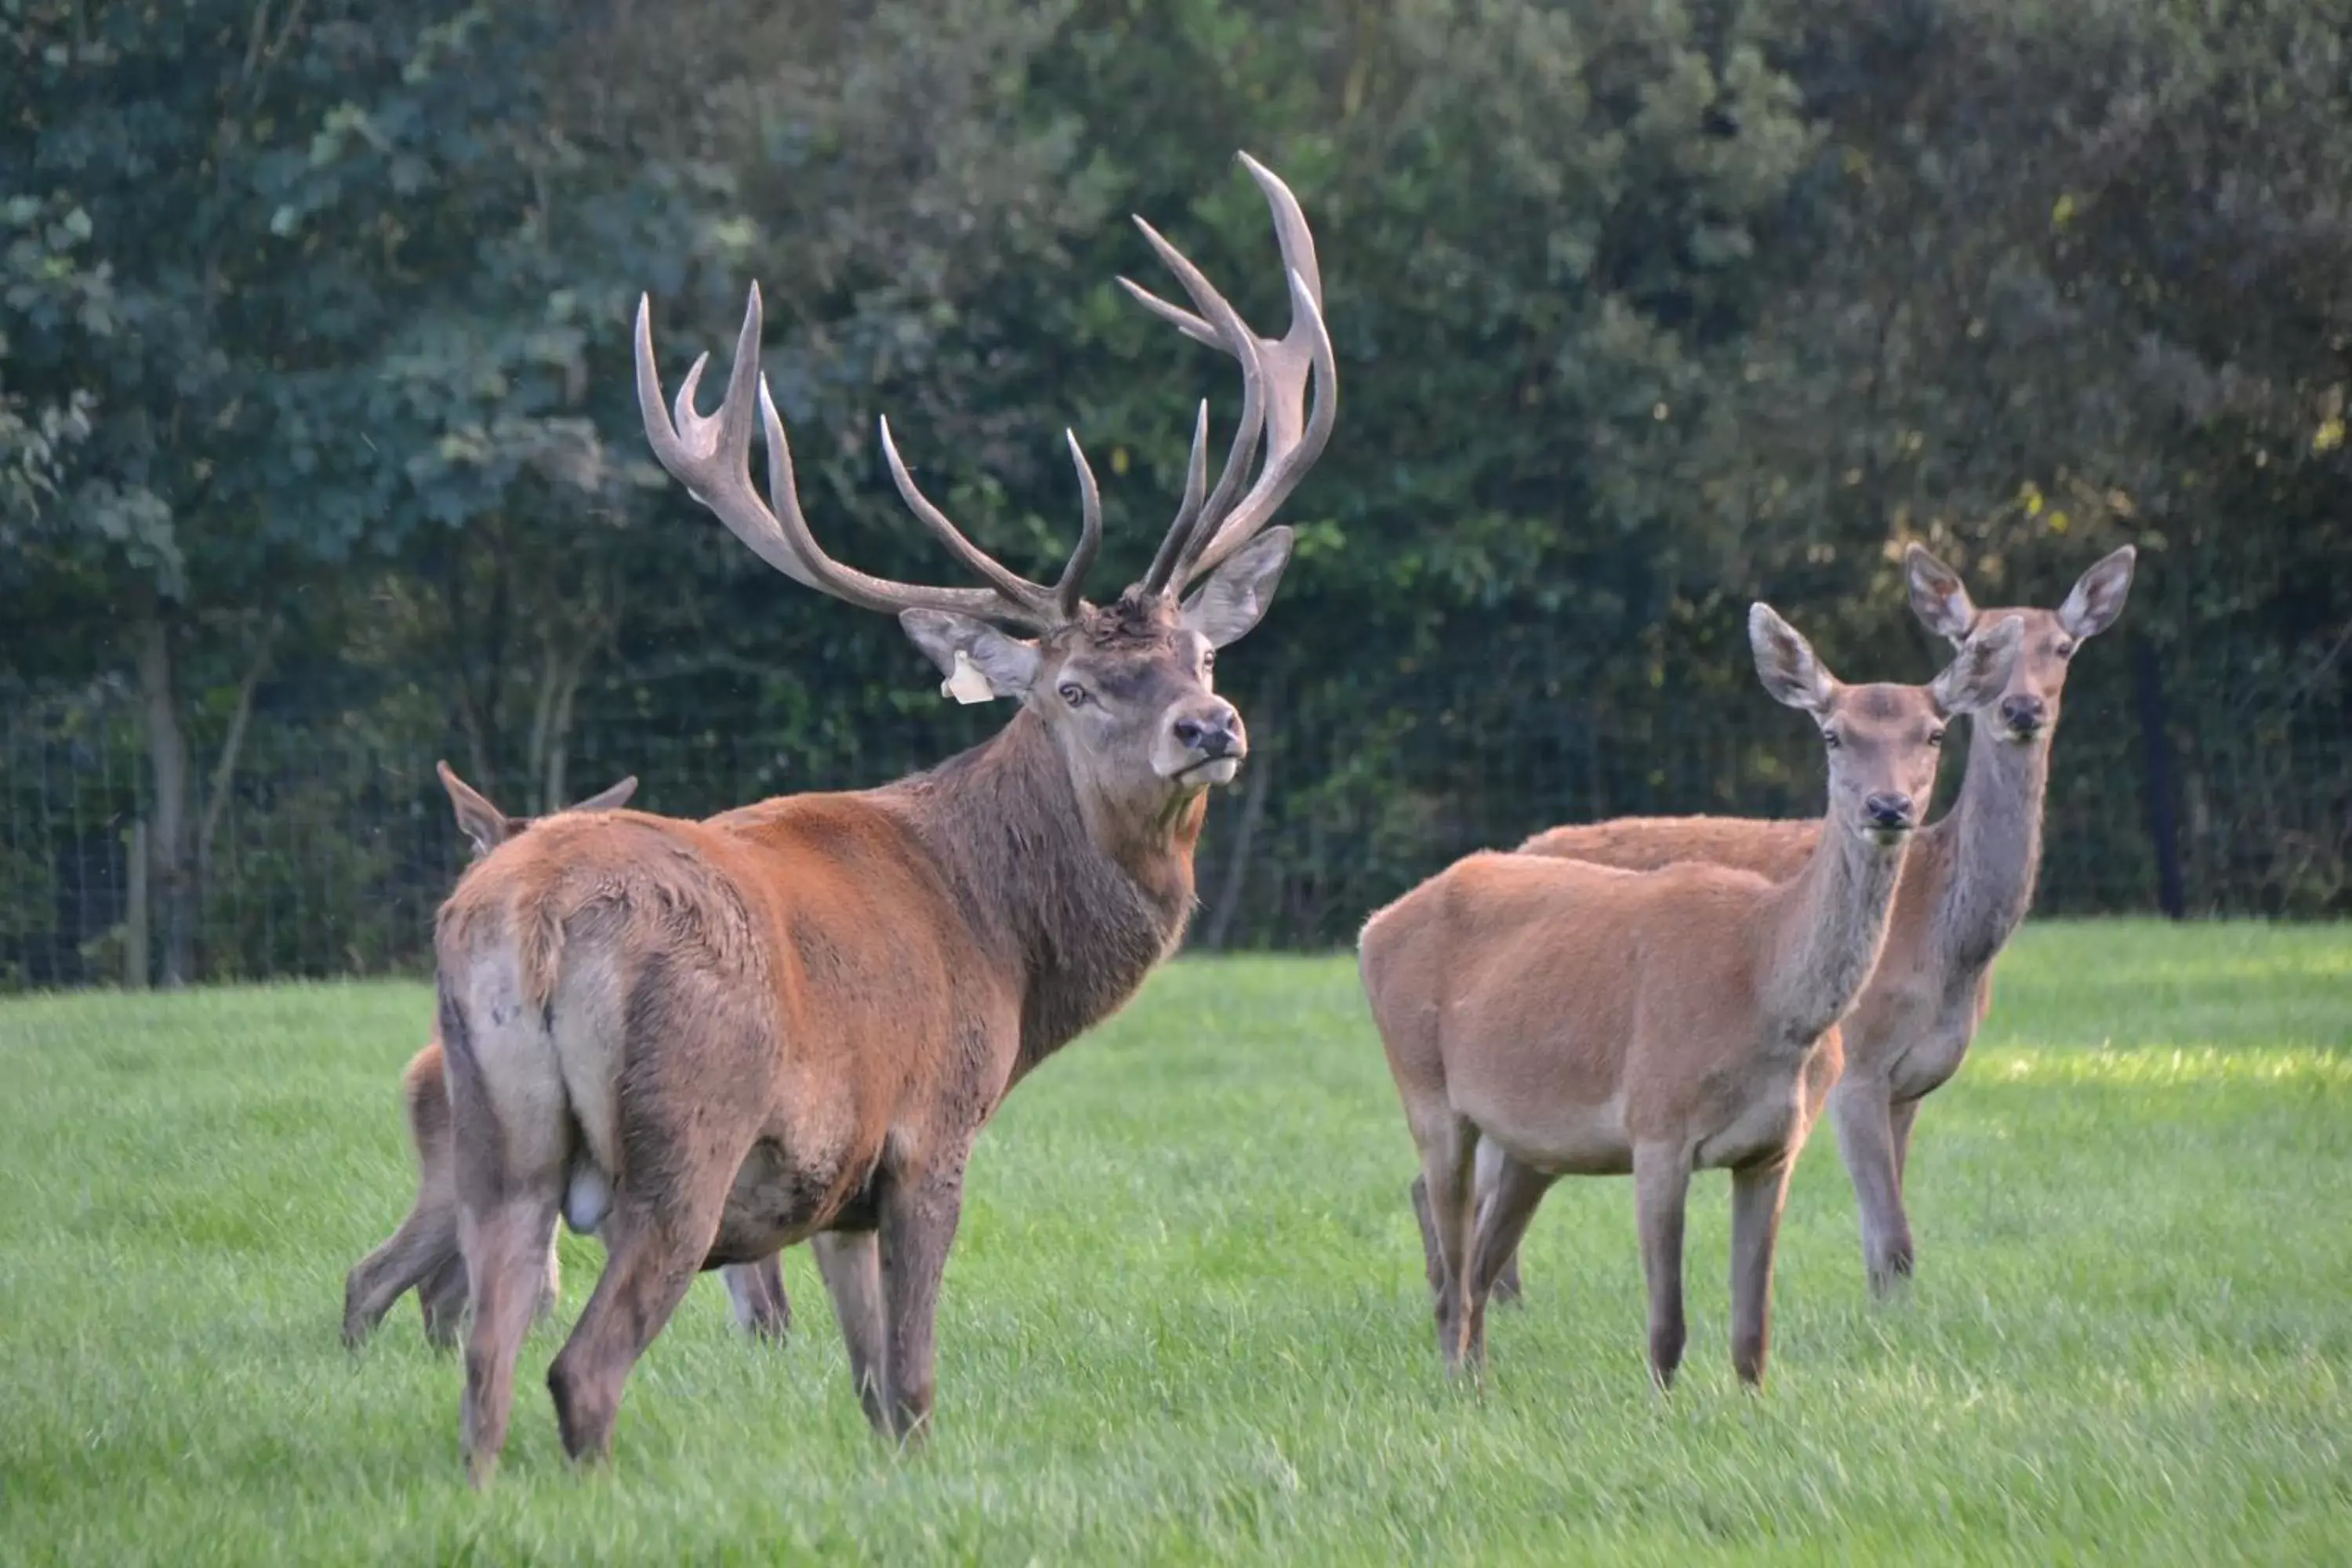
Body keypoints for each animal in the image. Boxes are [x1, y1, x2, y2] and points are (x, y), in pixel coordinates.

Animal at [433, 152, 1336, 1476]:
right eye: (1071, 689)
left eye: (1202, 657)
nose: (1208, 730)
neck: (1006, 945)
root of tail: (530, 920)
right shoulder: (931, 1128)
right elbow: (912, 1381)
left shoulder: (838, 1194)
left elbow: (868, 1386)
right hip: (686, 1134)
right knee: (577, 1367)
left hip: (495, 1141)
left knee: (485, 1365)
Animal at [1364, 606, 2023, 1392]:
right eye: (1834, 733)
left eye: (1933, 733)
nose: (1887, 806)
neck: (1766, 989)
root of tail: (1372, 927)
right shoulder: (1656, 1125)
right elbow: (1667, 1325)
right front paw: (1660, 1408)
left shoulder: (1776, 1148)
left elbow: (1752, 1333)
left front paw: (1749, 1405)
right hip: (1426, 1089)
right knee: (1452, 1269)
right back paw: (1455, 1385)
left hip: (1531, 1141)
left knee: (1480, 1268)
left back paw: (1478, 1383)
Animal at [1486, 540, 2136, 1298]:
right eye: (1968, 640)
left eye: (2063, 647)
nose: (2022, 707)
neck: (1946, 948)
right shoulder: (1860, 1061)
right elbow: (1893, 1237)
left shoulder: (1914, 1082)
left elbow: (1890, 1234)